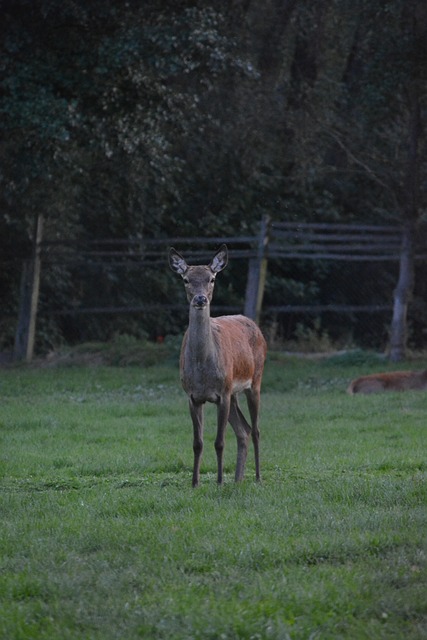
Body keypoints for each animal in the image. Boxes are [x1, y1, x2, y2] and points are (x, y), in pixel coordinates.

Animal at [169, 244, 267, 487]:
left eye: (212, 278)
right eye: (186, 279)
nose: (200, 299)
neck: (203, 369)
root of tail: (255, 325)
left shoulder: (222, 393)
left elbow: (219, 442)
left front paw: (220, 481)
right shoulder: (193, 396)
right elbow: (198, 443)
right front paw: (195, 483)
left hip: (254, 382)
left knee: (256, 430)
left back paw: (257, 477)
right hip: (234, 393)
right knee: (244, 430)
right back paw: (238, 479)